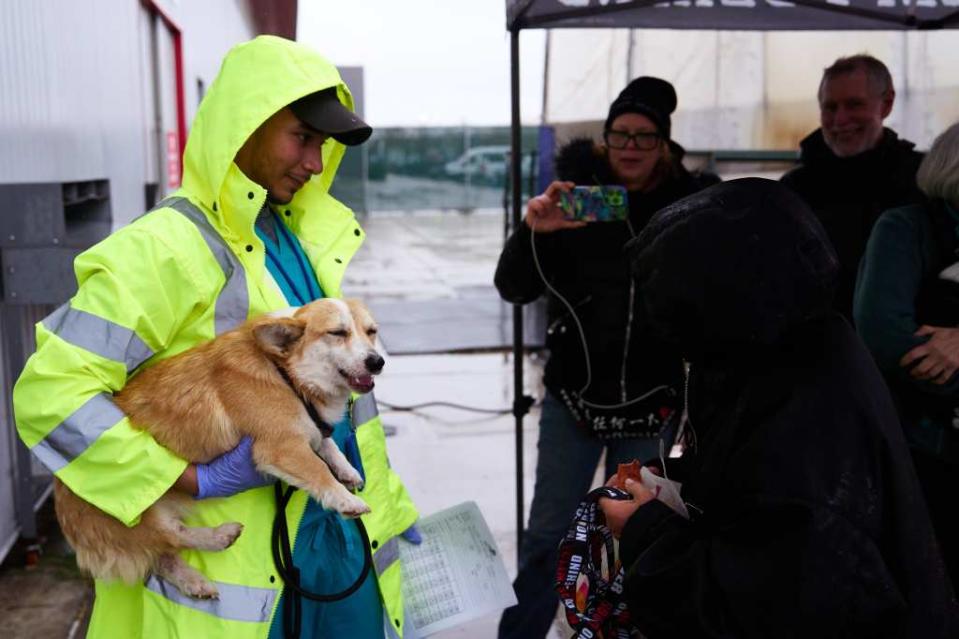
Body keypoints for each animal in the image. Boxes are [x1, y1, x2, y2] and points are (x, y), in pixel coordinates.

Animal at [54, 298, 384, 600]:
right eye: (337, 333)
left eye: (371, 332)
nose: (377, 362)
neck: (285, 370)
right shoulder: (280, 446)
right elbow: (318, 470)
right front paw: (345, 500)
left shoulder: (308, 428)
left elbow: (325, 442)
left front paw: (346, 469)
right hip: (140, 507)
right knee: (171, 536)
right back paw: (218, 537)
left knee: (164, 554)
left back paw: (196, 580)